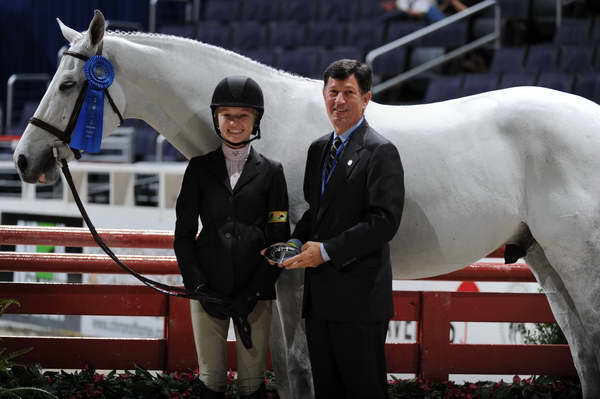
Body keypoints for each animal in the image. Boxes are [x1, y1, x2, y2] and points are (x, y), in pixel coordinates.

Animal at [12, 10, 600, 398]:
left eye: (69, 85)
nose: (23, 159)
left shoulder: (291, 272)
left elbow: (297, 368)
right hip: (545, 258)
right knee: (583, 351)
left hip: (578, 259)